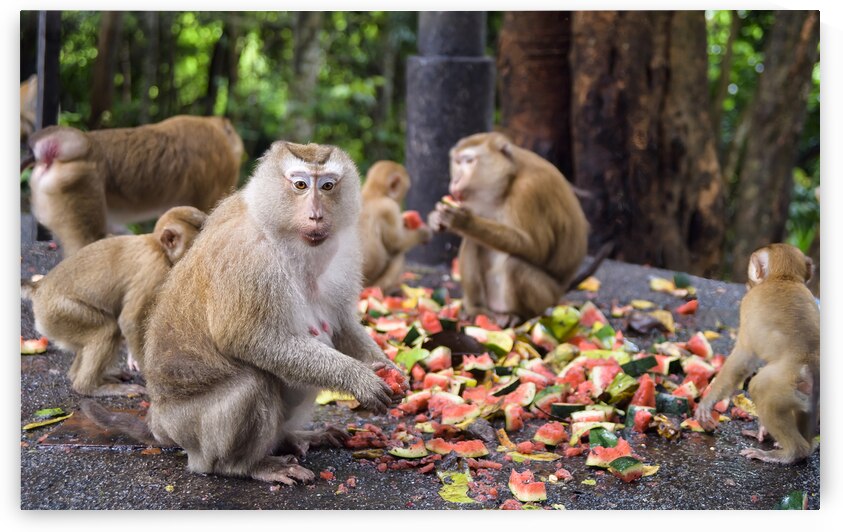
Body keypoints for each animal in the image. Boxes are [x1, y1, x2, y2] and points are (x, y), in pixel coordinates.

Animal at [22, 206, 207, 397]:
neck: (158, 247)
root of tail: (39, 287)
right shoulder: (154, 270)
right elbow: (129, 322)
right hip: (57, 312)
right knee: (107, 329)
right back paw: (89, 387)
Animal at [82, 141, 407, 485]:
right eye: (300, 185)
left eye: (328, 186)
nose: (317, 215)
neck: (280, 232)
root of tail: (160, 423)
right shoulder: (248, 258)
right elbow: (251, 339)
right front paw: (360, 379)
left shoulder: (344, 251)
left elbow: (343, 322)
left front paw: (387, 368)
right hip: (194, 433)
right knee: (253, 383)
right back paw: (245, 466)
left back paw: (291, 438)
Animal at [359, 160, 432, 292]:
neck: (374, 192)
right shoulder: (390, 208)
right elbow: (398, 242)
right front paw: (423, 233)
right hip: (374, 284)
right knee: (399, 254)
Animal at [427, 132, 590, 327]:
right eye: (457, 162)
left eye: (469, 161)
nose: (456, 180)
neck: (506, 183)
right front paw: (435, 219)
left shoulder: (528, 191)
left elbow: (537, 248)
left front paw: (463, 222)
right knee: (473, 242)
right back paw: (476, 309)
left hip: (547, 298)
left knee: (516, 266)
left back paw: (518, 316)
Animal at [695, 243, 820, 464]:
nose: (748, 283)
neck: (785, 277)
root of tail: (810, 366)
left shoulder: (748, 304)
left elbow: (743, 357)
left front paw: (707, 404)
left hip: (783, 385)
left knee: (760, 387)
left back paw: (791, 453)